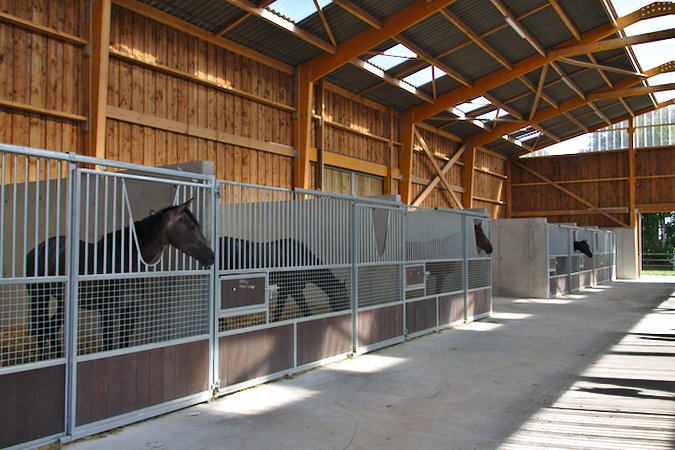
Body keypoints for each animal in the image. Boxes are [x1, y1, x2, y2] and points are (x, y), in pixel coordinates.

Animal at [26, 199, 215, 358]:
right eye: (191, 226)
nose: (212, 256)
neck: (125, 261)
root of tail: (39, 248)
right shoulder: (107, 311)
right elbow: (109, 346)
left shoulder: (130, 309)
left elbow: (124, 345)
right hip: (39, 297)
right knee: (41, 330)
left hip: (63, 302)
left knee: (50, 329)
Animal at [219, 237, 349, 321]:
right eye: (345, 298)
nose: (348, 313)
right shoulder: (295, 290)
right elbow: (307, 312)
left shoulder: (284, 289)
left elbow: (278, 312)